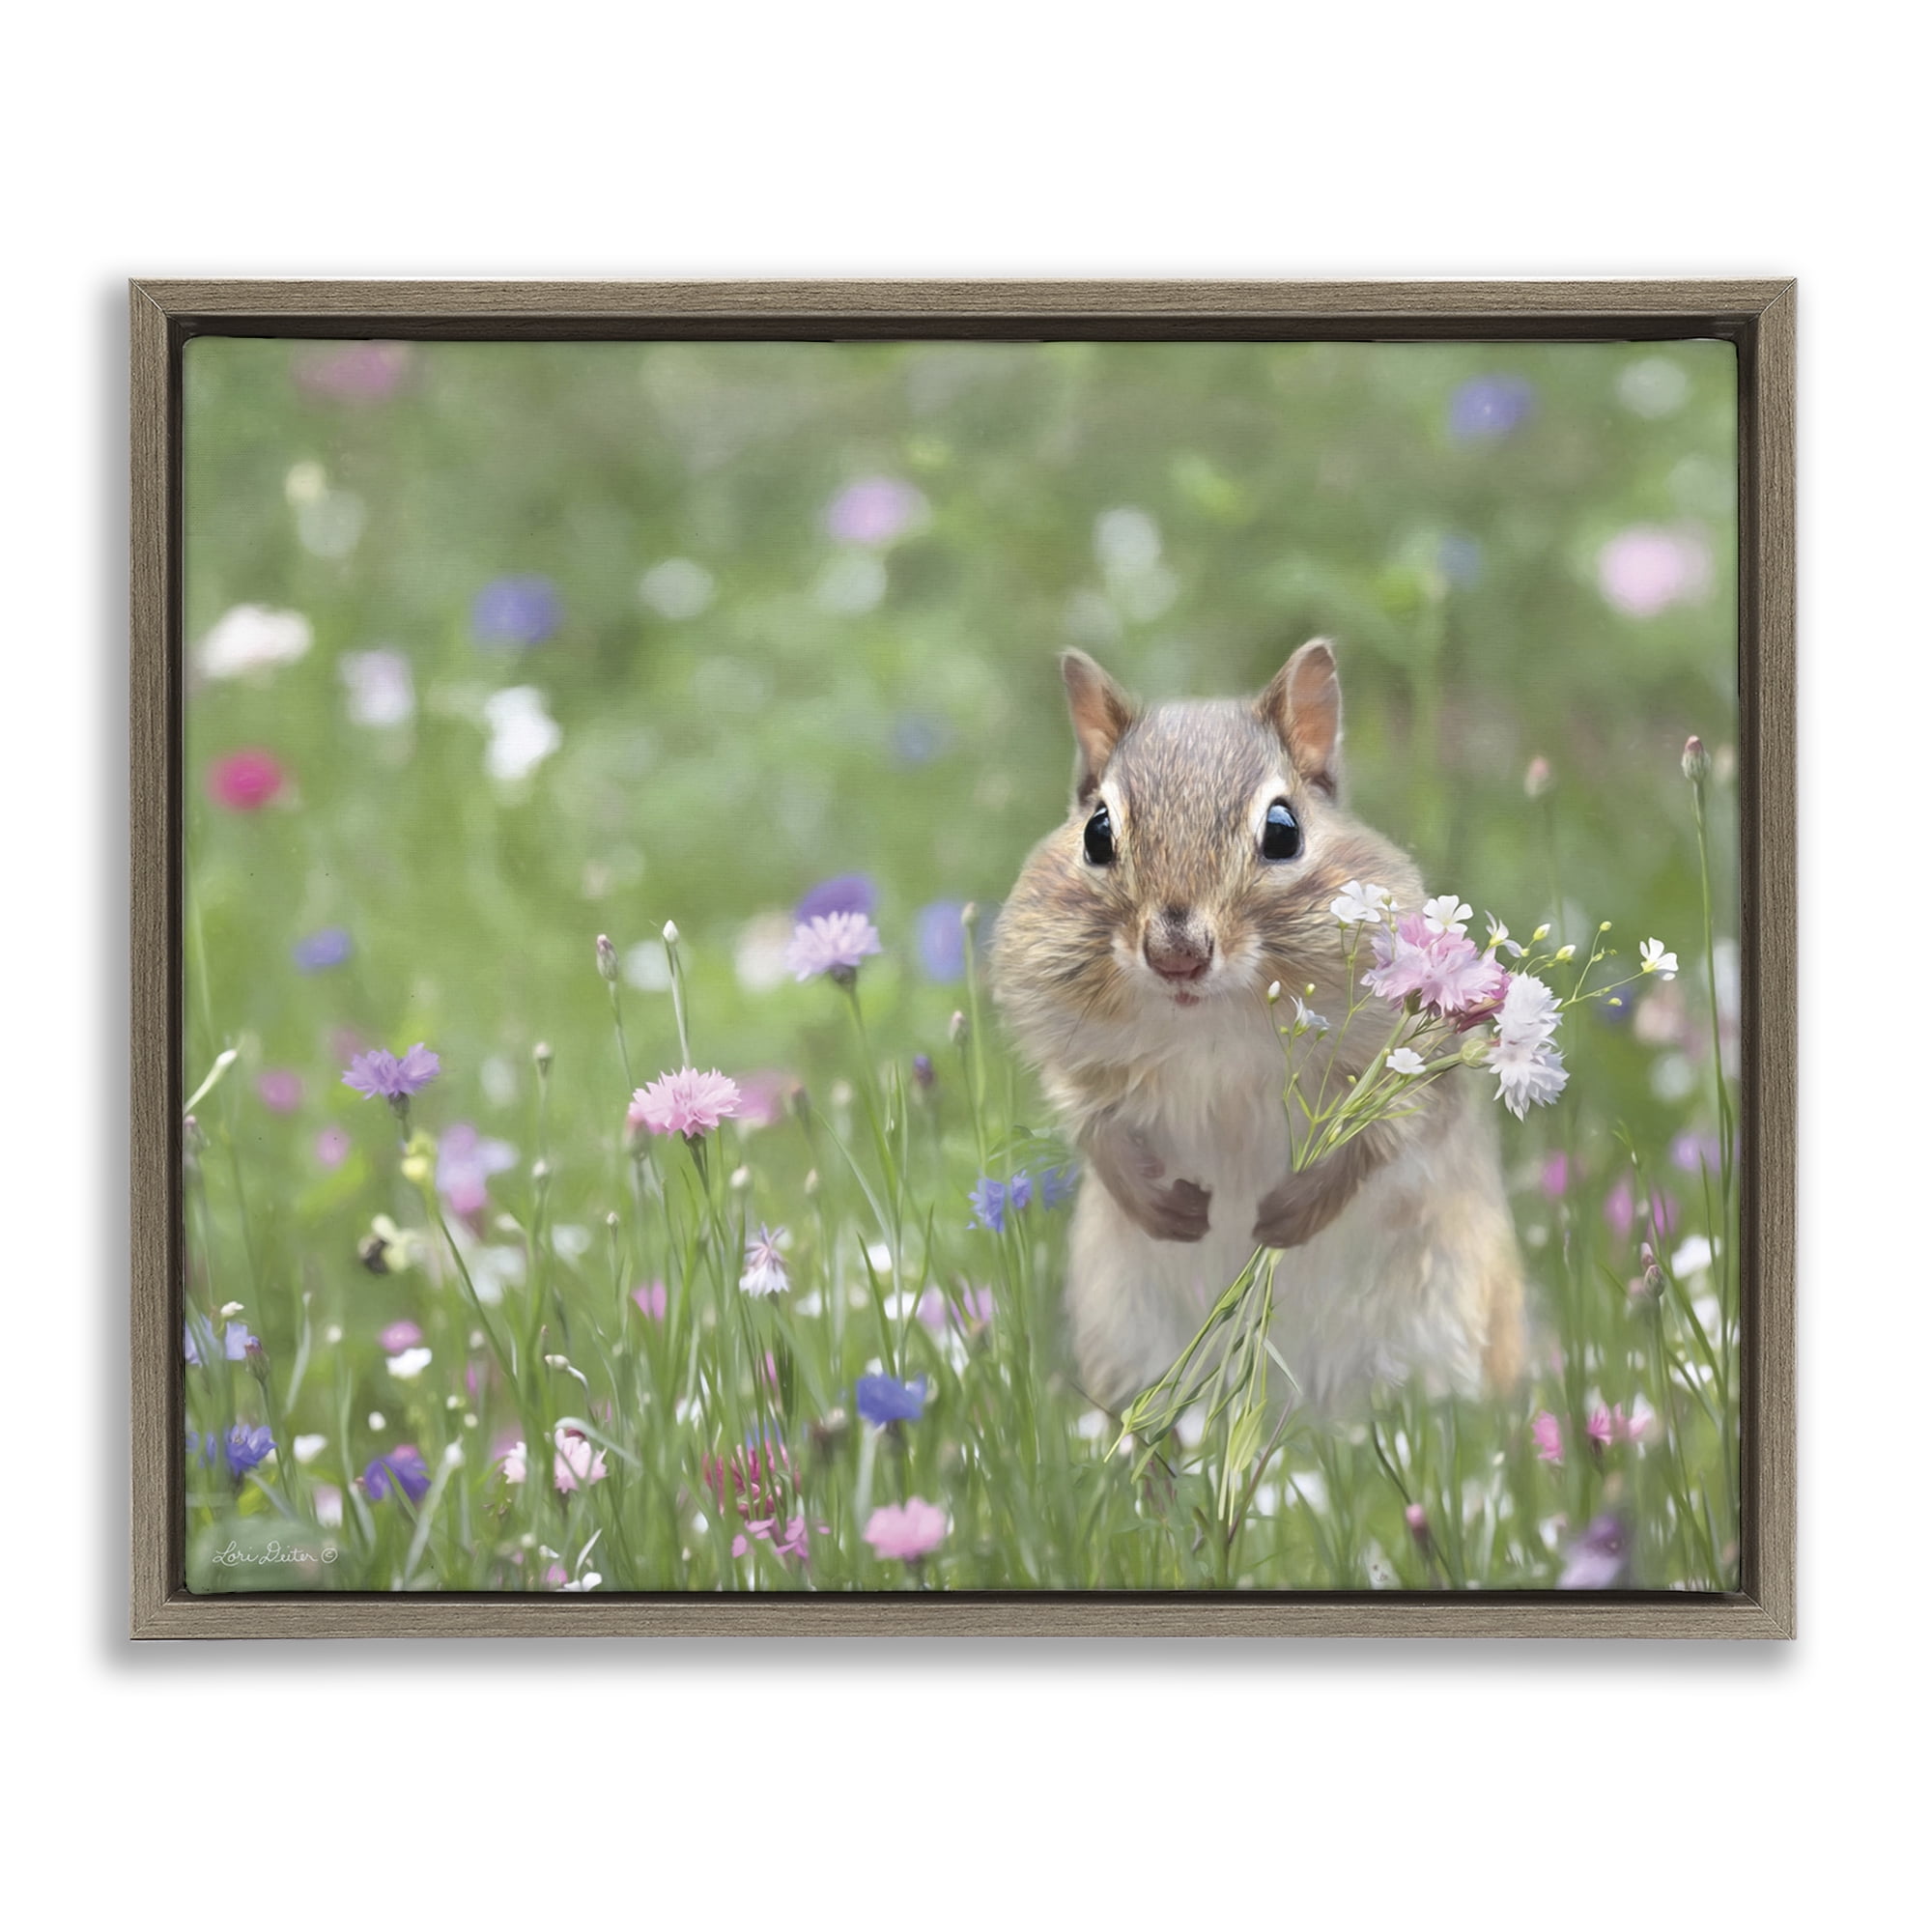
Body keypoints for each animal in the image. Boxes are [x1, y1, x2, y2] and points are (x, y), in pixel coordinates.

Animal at [990, 640, 1524, 1412]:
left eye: (1283, 831)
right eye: (1096, 832)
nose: (1176, 955)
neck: (1209, 1023)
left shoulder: (1410, 1062)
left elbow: (1385, 1137)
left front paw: (1288, 1215)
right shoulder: (1075, 1058)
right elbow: (1092, 1127)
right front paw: (1163, 1208)